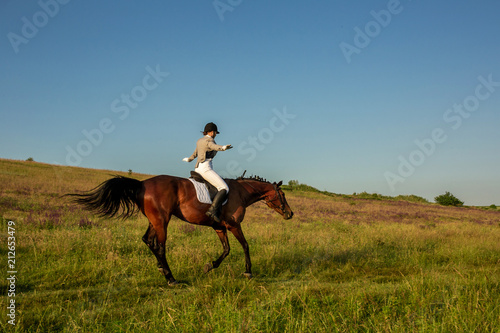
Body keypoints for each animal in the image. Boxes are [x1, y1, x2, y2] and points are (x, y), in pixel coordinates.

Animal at [68, 172, 292, 284]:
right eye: (282, 195)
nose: (290, 214)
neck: (240, 192)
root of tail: (142, 184)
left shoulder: (219, 227)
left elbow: (226, 250)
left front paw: (209, 266)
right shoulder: (234, 225)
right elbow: (245, 246)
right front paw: (248, 272)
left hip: (154, 220)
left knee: (147, 240)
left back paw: (162, 268)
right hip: (162, 221)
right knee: (160, 246)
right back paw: (170, 278)